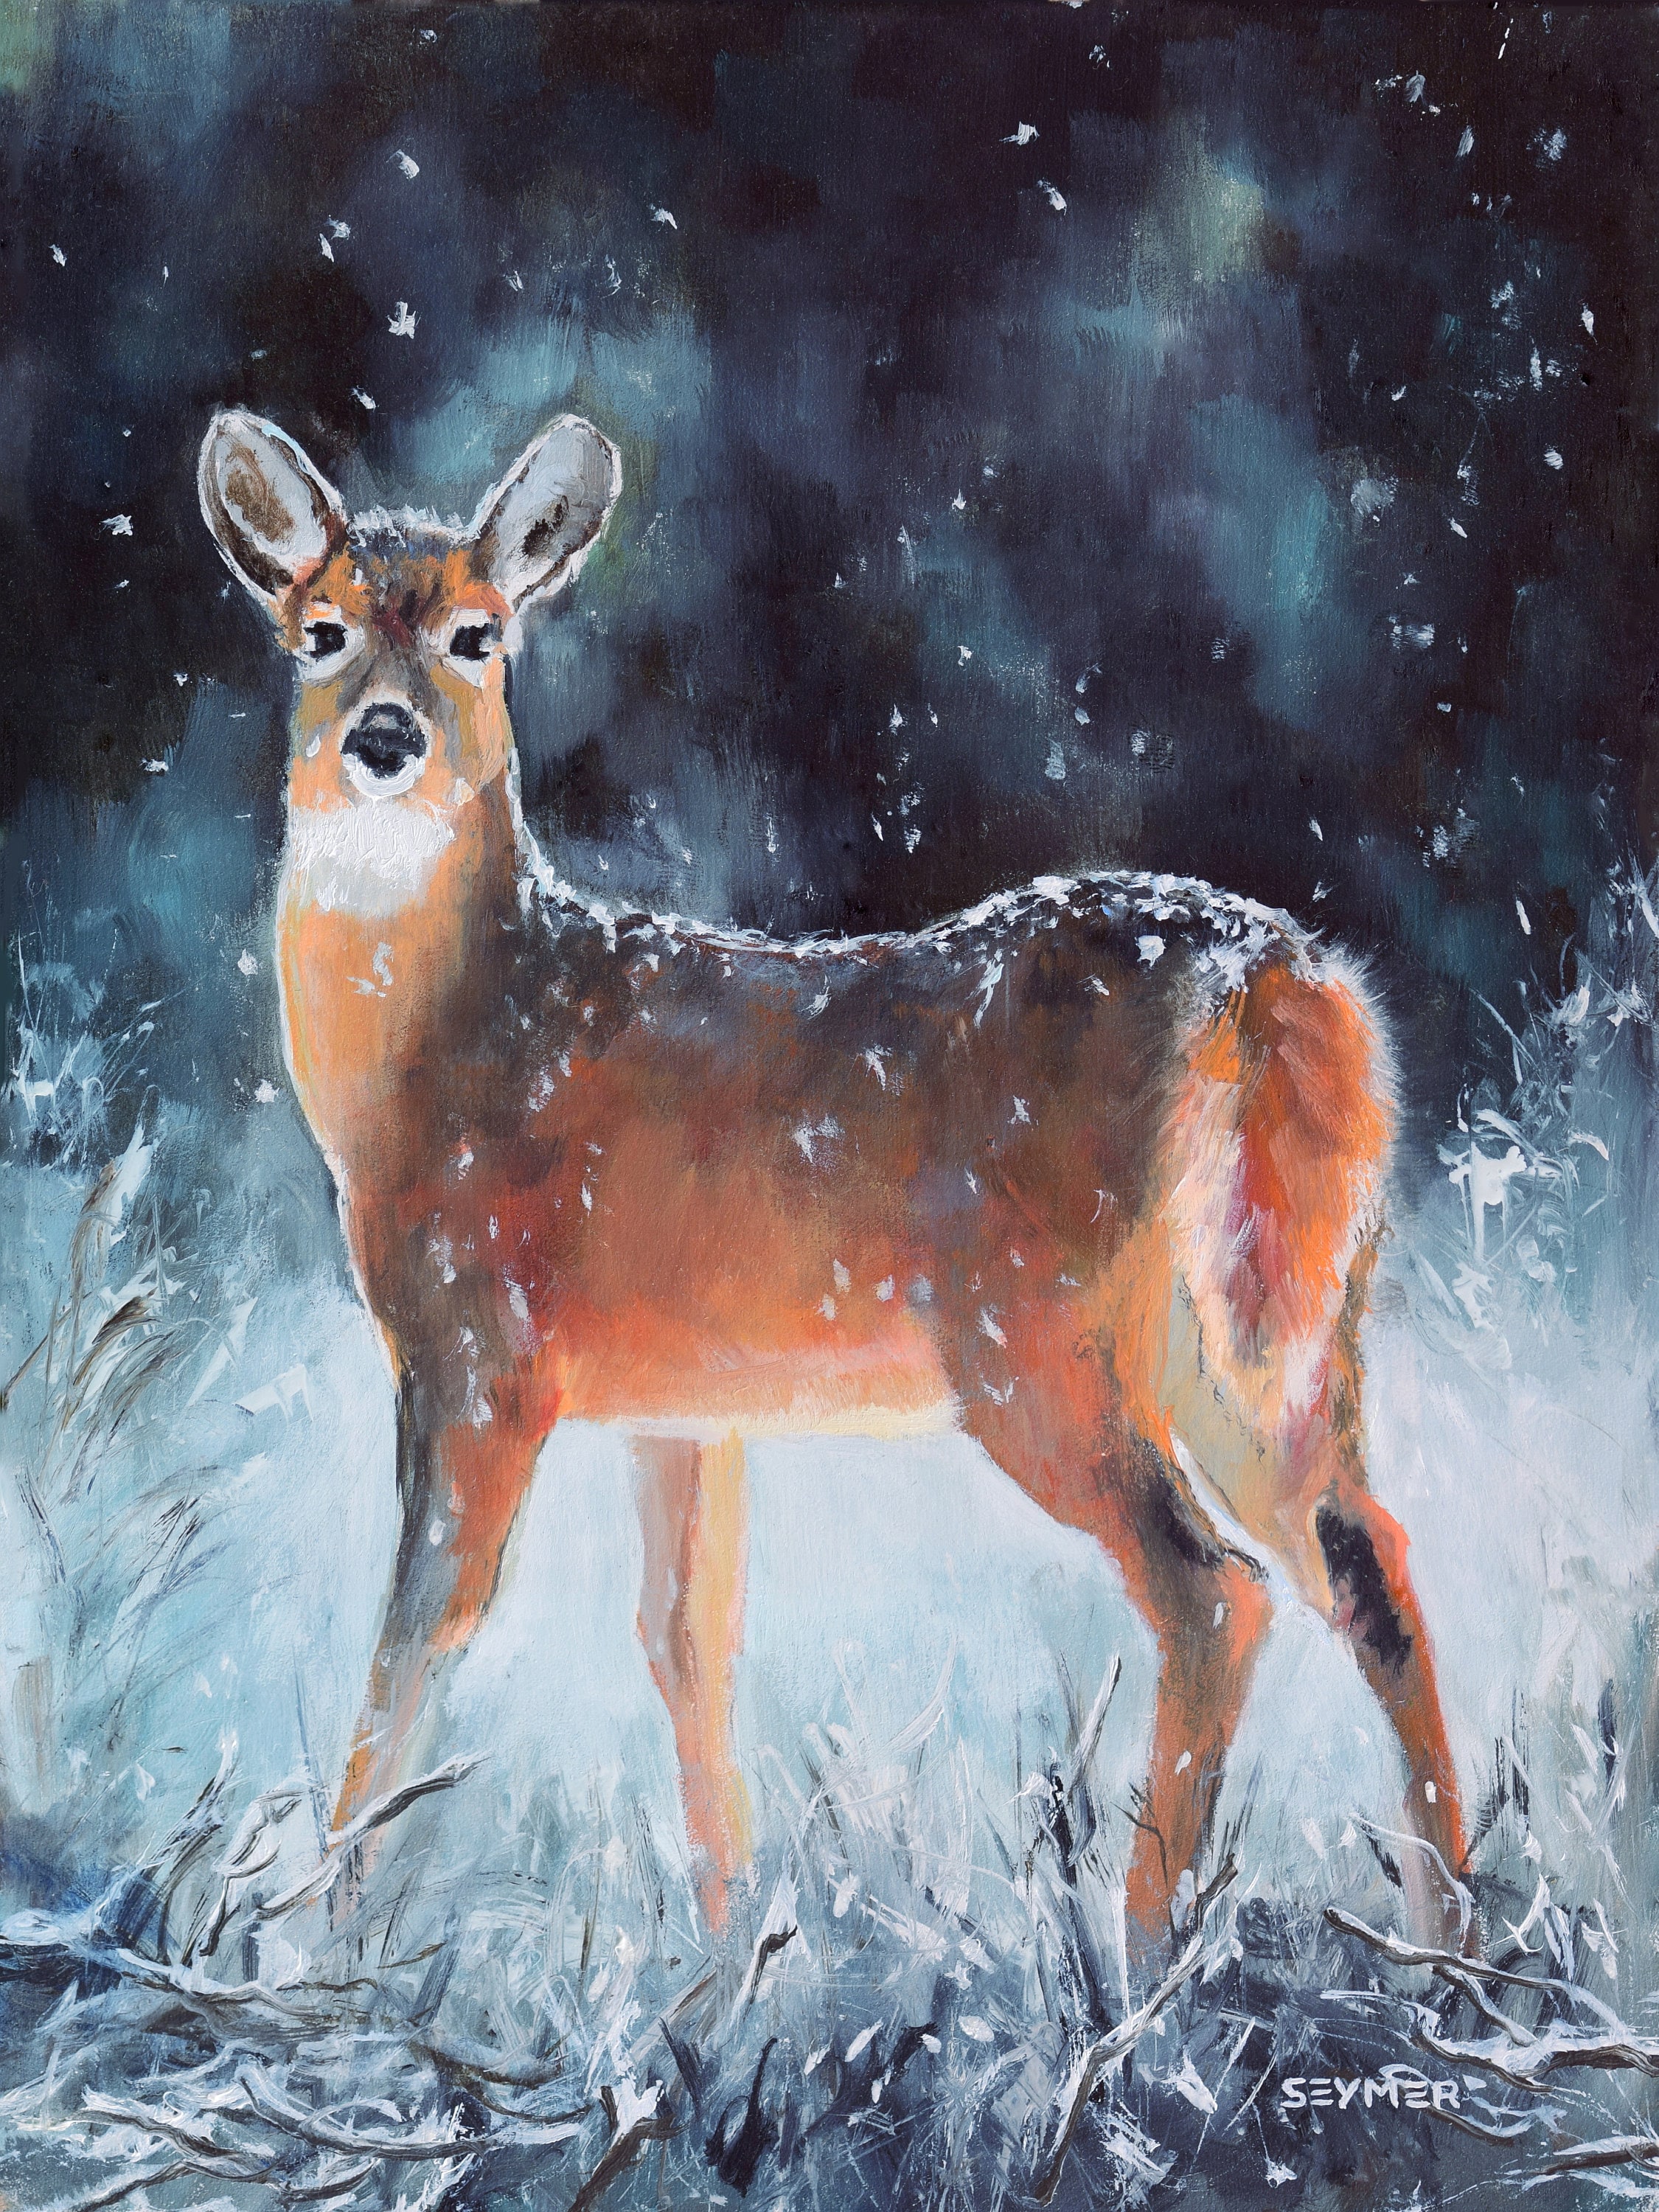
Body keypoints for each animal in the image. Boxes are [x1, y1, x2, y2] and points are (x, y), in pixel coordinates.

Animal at [198, 407, 1468, 1946]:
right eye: (317, 633)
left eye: (477, 635)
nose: (384, 737)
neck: (445, 1052)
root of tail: (1276, 984)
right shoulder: (681, 1408)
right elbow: (688, 1648)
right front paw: (725, 1942)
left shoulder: (476, 1349)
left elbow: (418, 1640)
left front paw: (318, 1939)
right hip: (1276, 1317)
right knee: (1368, 1557)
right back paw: (1449, 1940)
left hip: (1037, 1335)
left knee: (1213, 1592)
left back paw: (1137, 1943)